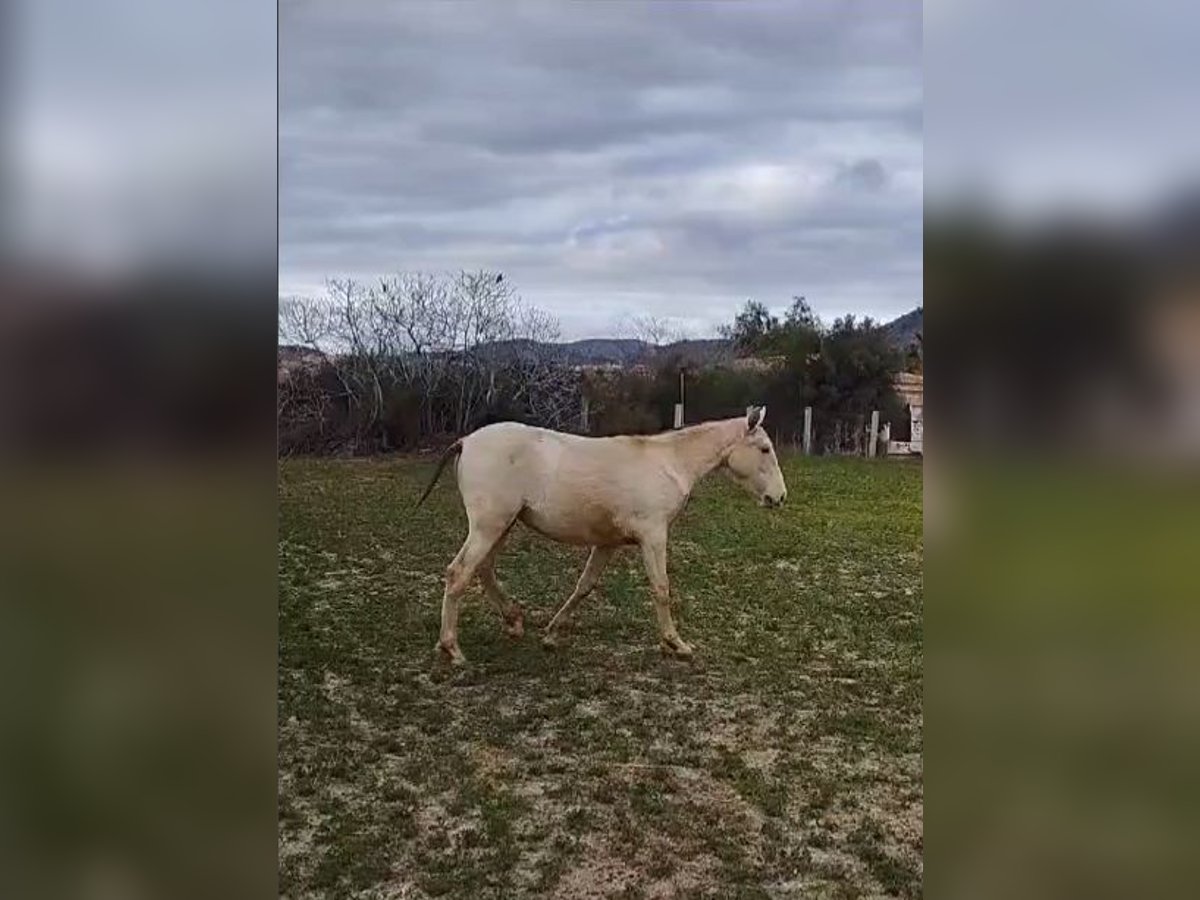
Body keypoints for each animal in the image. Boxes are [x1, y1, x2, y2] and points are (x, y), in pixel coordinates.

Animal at [415, 405, 787, 667]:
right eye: (765, 449)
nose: (779, 497)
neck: (669, 464)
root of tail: (466, 441)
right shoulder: (653, 536)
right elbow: (661, 589)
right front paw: (676, 644)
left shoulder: (607, 543)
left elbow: (585, 586)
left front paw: (552, 634)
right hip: (490, 525)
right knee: (459, 573)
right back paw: (452, 649)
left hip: (501, 526)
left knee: (483, 569)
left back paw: (513, 622)